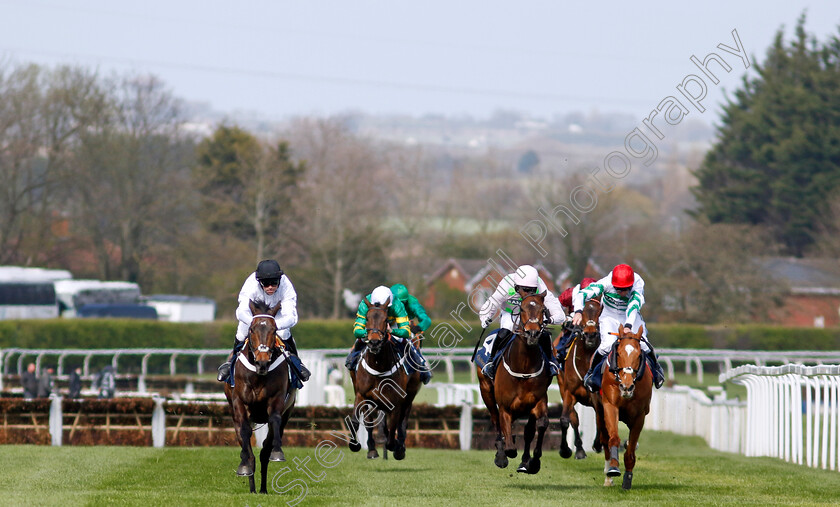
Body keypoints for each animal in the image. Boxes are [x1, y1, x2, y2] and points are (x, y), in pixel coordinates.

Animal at [225, 300, 296, 494]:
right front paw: (244, 467)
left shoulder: (277, 399)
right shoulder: (239, 403)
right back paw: (252, 486)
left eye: (274, 329)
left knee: (265, 450)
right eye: (251, 329)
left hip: (288, 411)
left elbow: (274, 421)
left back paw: (262, 489)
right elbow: (245, 434)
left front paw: (278, 452)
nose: (262, 361)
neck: (258, 374)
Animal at [348, 298, 420, 460]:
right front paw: (354, 445)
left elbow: (394, 427)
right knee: (369, 421)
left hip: (410, 395)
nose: (374, 342)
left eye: (386, 320)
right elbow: (356, 420)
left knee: (403, 421)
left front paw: (396, 447)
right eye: (367, 318)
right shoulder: (361, 394)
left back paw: (399, 447)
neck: (378, 365)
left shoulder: (396, 401)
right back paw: (372, 449)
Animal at [476, 292, 556, 474]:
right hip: (486, 391)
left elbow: (541, 425)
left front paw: (533, 462)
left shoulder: (538, 400)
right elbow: (509, 444)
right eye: (522, 309)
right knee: (495, 420)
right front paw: (503, 454)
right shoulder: (505, 406)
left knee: (528, 430)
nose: (532, 333)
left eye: (543, 310)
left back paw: (524, 462)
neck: (523, 367)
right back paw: (501, 452)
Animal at [556, 298, 604, 460]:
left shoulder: (597, 395)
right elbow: (566, 420)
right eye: (582, 311)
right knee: (574, 418)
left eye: (600, 311)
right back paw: (580, 449)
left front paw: (598, 443)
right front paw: (565, 450)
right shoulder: (569, 392)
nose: (590, 335)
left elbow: (600, 418)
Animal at [588, 324, 652, 490]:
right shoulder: (610, 406)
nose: (626, 387)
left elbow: (631, 449)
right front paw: (613, 468)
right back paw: (608, 476)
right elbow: (613, 439)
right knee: (605, 439)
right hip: (599, 411)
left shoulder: (639, 416)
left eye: (638, 355)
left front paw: (627, 479)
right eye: (619, 353)